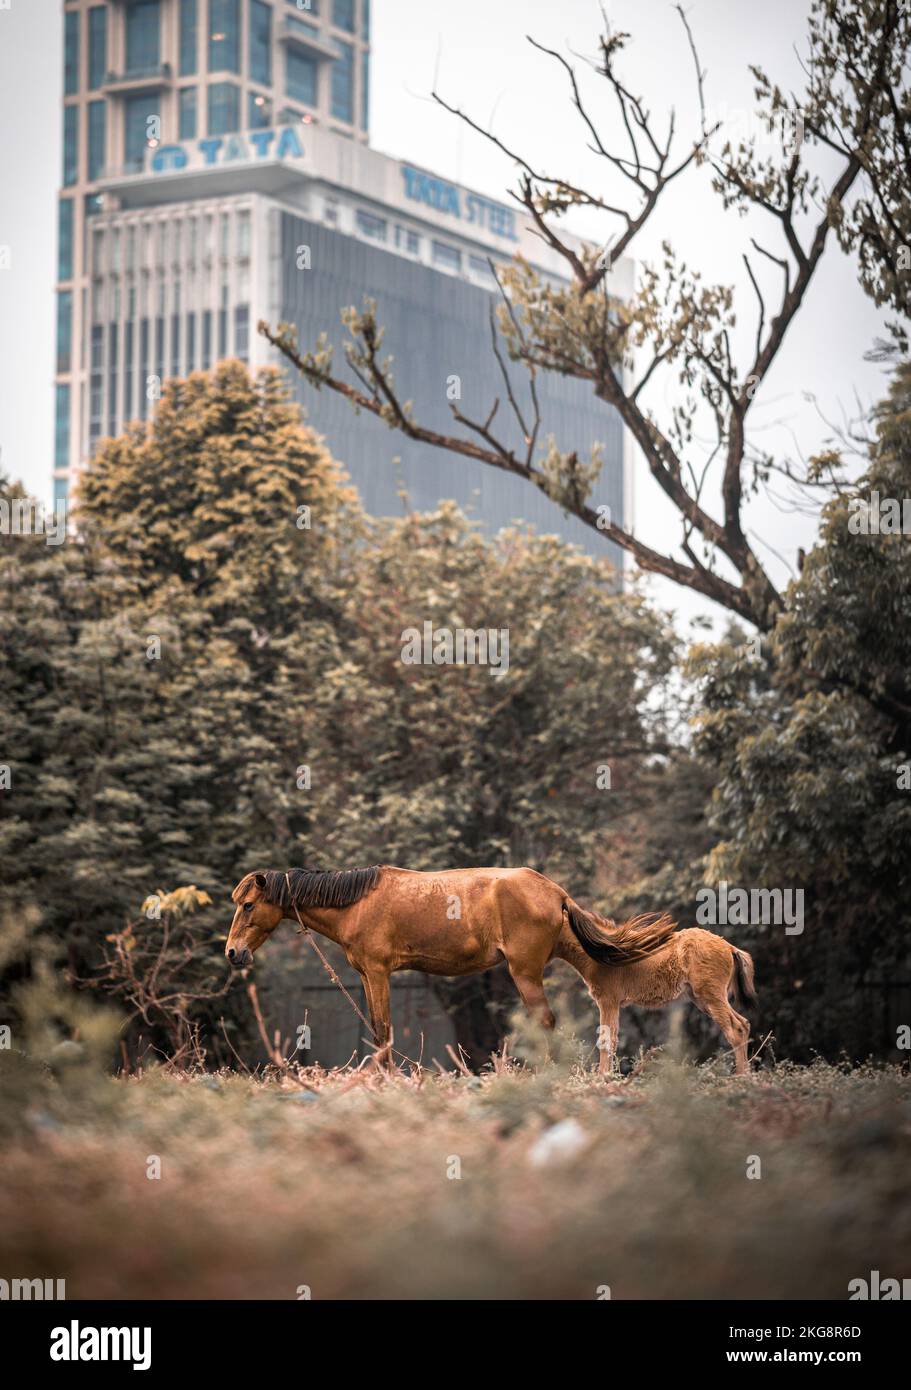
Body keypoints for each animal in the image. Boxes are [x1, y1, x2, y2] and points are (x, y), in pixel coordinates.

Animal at [226, 856, 675, 1050]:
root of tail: (555, 891)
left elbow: (384, 1029)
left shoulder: (379, 972)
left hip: (525, 973)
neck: (357, 901)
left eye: (247, 905)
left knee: (544, 1022)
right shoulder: (367, 977)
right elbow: (377, 1030)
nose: (233, 952)